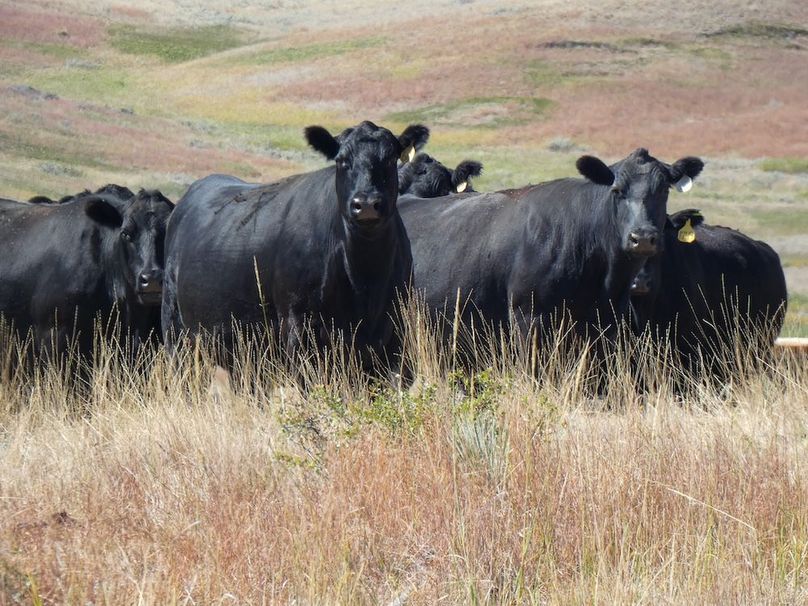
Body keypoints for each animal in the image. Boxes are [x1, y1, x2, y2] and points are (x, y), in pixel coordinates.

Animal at [161, 120, 430, 374]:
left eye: (390, 159)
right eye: (341, 160)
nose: (365, 204)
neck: (364, 279)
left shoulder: (394, 334)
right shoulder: (297, 327)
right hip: (176, 334)